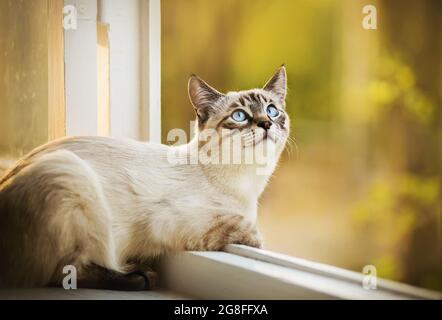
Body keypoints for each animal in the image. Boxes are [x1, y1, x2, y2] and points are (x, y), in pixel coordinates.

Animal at [0, 65, 290, 290]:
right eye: (240, 116)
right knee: (66, 273)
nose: (266, 123)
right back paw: (140, 277)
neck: (247, 185)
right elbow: (251, 234)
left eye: (272, 111)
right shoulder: (175, 222)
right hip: (71, 175)